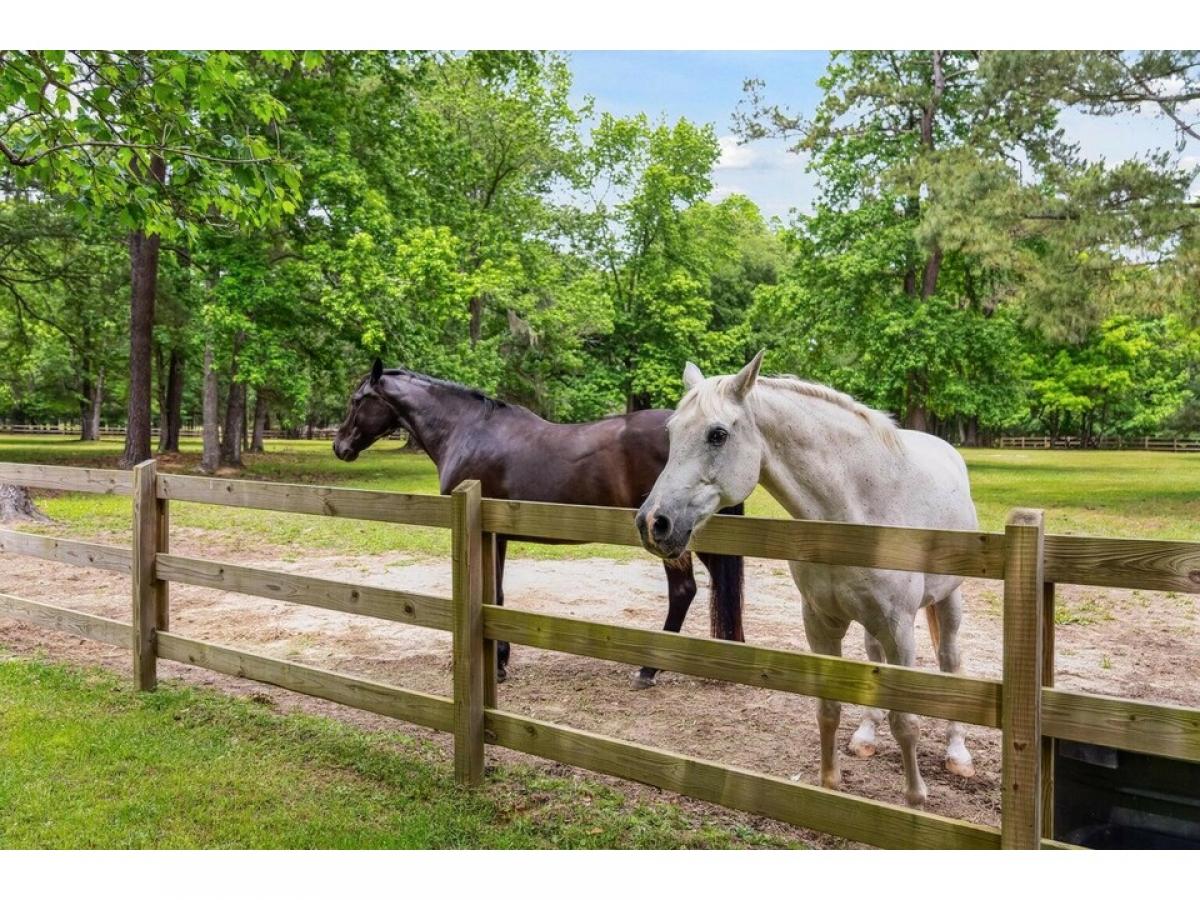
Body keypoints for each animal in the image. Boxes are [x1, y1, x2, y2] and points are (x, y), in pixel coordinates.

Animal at [332, 359, 745, 686]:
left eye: (356, 400)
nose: (340, 446)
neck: (468, 432)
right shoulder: (495, 534)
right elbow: (495, 595)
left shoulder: (488, 533)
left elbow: (495, 595)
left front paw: (499, 665)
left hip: (668, 534)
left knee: (683, 590)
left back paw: (649, 670)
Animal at [634, 351, 977, 808]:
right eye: (671, 433)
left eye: (717, 434)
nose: (653, 523)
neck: (856, 511)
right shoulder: (820, 624)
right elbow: (828, 708)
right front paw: (830, 786)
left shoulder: (900, 628)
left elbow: (905, 720)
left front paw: (915, 801)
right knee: (874, 663)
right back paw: (867, 736)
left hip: (947, 601)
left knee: (950, 661)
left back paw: (958, 753)